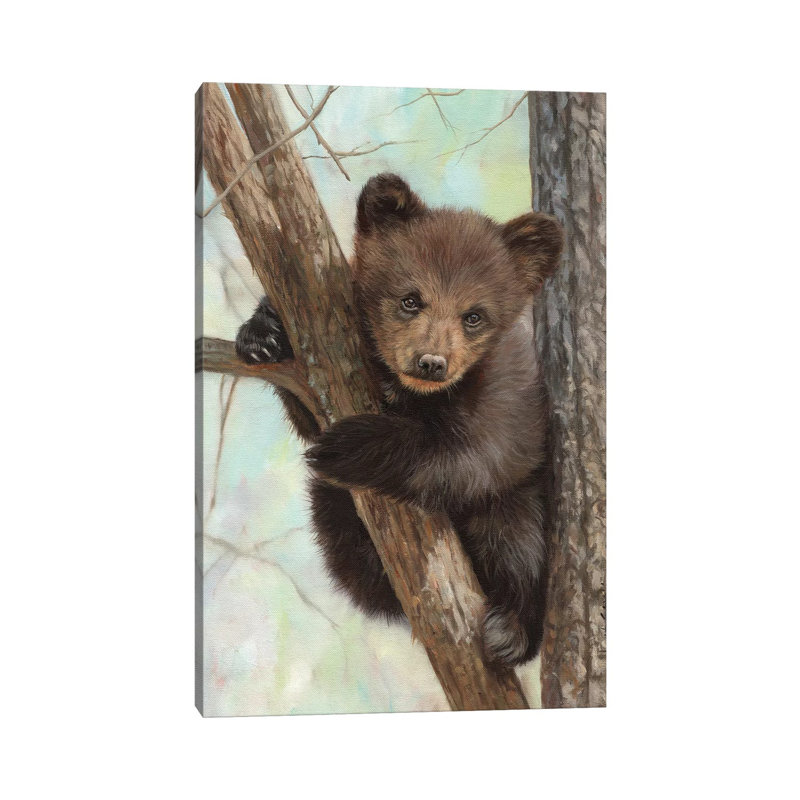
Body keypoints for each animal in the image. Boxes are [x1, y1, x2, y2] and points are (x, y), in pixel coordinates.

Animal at [235, 173, 563, 666]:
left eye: (474, 316)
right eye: (410, 299)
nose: (431, 362)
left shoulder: (505, 396)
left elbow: (467, 458)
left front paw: (350, 444)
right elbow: (307, 398)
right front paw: (263, 332)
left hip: (519, 502)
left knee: (518, 545)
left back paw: (509, 630)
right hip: (330, 511)